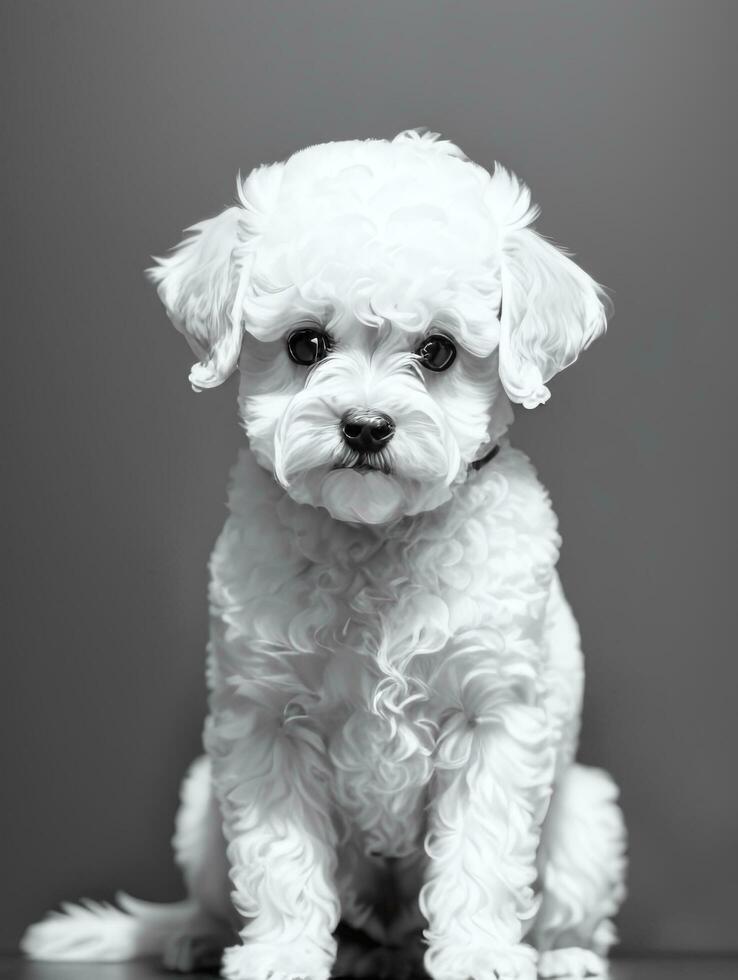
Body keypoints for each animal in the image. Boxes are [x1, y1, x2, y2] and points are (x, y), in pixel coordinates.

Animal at [27, 132, 628, 980]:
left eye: (438, 351)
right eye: (306, 344)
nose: (366, 426)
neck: (373, 539)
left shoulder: (495, 720)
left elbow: (481, 857)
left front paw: (480, 952)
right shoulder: (264, 725)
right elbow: (279, 862)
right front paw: (279, 954)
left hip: (587, 829)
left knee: (567, 910)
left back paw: (561, 956)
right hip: (199, 807)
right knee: (219, 899)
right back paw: (198, 937)